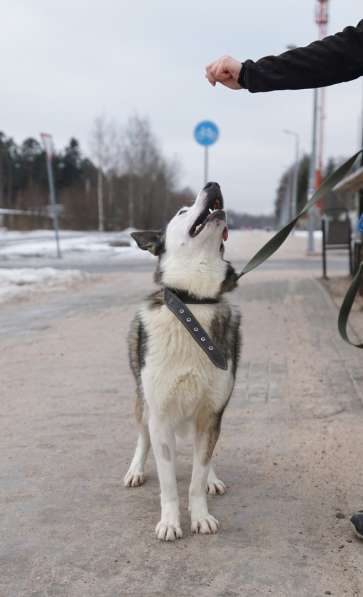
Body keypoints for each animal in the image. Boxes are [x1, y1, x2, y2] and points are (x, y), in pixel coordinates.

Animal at [125, 182, 242, 540]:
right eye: (181, 211)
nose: (212, 184)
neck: (194, 302)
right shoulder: (160, 415)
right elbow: (168, 483)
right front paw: (170, 522)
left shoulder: (211, 412)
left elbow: (197, 478)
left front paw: (201, 515)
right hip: (143, 401)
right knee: (142, 437)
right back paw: (135, 469)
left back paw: (214, 478)